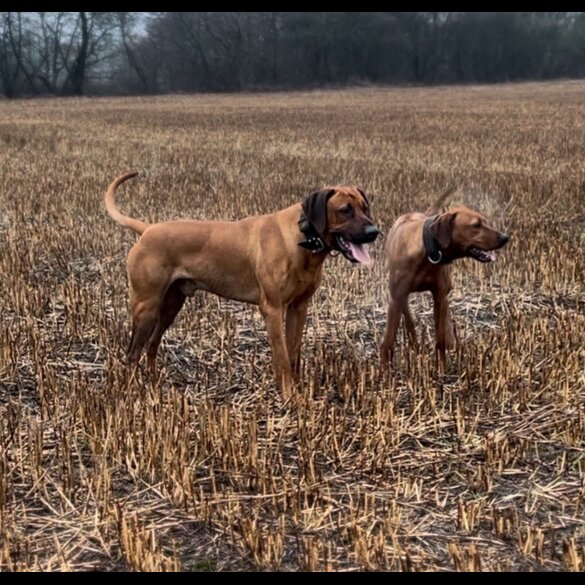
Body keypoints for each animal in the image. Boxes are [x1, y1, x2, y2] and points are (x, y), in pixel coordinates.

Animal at [105, 170, 378, 396]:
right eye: (344, 210)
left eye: (365, 207)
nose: (374, 232)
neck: (303, 237)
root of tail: (148, 229)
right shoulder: (272, 309)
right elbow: (281, 356)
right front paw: (289, 395)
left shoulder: (299, 307)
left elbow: (294, 353)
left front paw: (299, 389)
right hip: (146, 306)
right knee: (132, 353)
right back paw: (134, 391)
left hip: (171, 305)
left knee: (151, 345)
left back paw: (153, 383)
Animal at [378, 189, 506, 368]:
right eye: (476, 225)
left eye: (485, 222)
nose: (505, 237)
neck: (426, 252)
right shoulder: (396, 297)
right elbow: (389, 340)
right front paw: (384, 369)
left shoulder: (439, 296)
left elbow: (440, 339)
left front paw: (441, 367)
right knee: (408, 316)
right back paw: (414, 343)